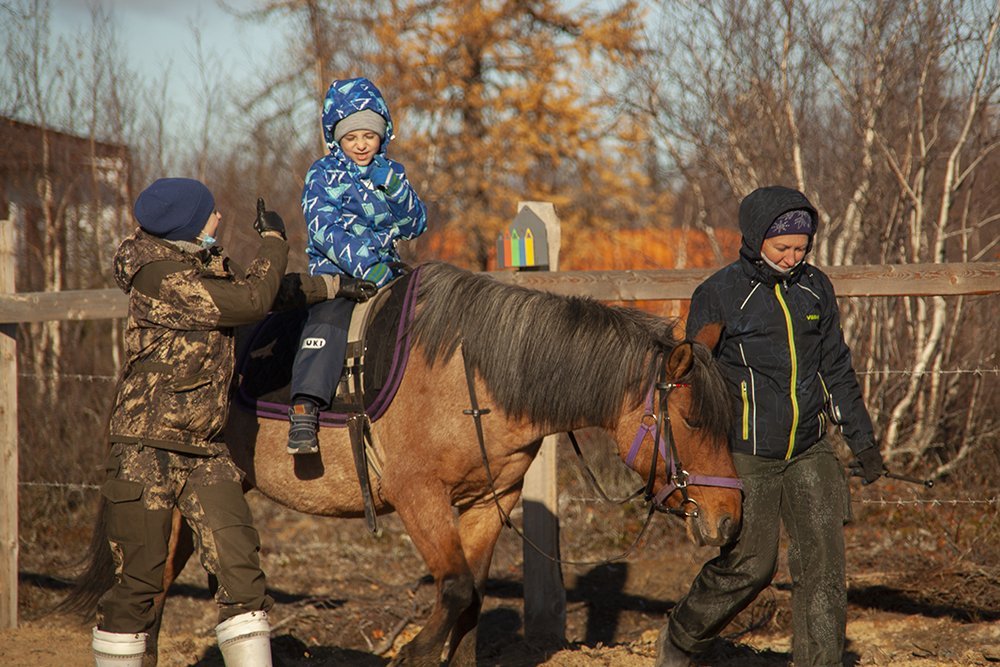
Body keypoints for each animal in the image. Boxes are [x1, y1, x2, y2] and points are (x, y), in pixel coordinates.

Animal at [62, 262, 740, 667]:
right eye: (690, 423)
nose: (730, 521)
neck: (472, 376)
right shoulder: (420, 498)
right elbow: (457, 591)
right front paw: (412, 652)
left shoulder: (486, 505)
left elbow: (470, 602)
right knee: (144, 605)